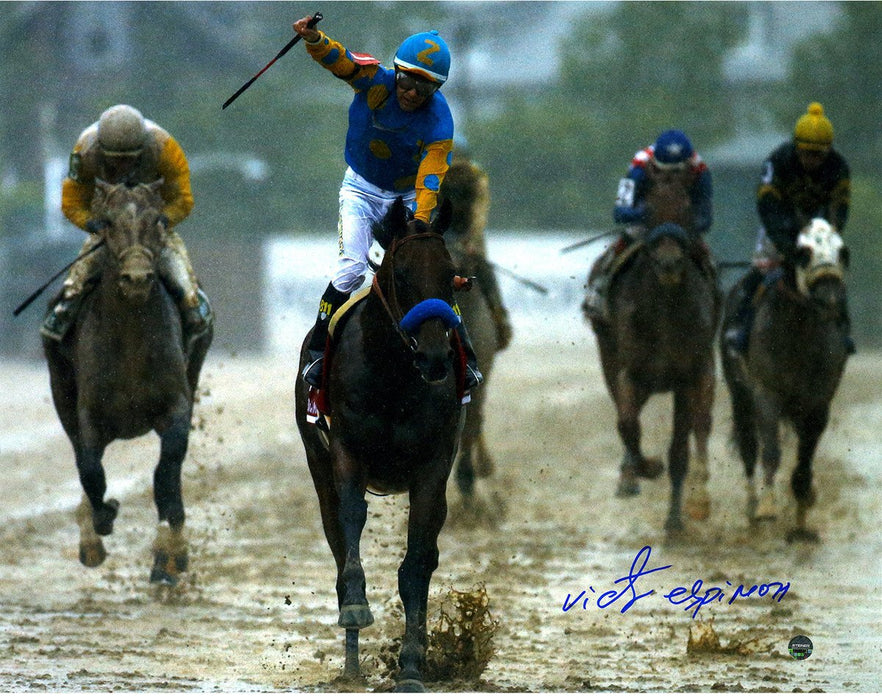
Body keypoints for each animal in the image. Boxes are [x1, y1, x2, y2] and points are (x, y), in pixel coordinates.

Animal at [42, 180, 211, 584]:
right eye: (106, 222)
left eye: (158, 220)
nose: (136, 277)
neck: (131, 341)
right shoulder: (89, 414)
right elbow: (90, 470)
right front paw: (101, 521)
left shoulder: (175, 407)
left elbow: (166, 474)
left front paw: (171, 554)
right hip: (61, 390)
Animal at [294, 198, 460, 696]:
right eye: (401, 276)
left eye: (451, 276)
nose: (435, 357)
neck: (393, 378)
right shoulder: (347, 451)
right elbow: (351, 523)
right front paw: (355, 606)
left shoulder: (434, 464)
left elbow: (417, 565)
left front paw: (411, 665)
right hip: (317, 459)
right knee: (336, 537)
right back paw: (350, 663)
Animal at [580, 168, 720, 532]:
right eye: (649, 210)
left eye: (686, 208)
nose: (669, 263)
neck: (666, 310)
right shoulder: (632, 372)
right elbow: (627, 424)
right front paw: (644, 470)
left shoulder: (690, 375)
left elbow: (685, 444)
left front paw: (687, 509)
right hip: (610, 357)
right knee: (625, 416)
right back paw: (630, 475)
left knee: (697, 426)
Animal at [720, 219, 844, 540]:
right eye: (803, 252)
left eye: (842, 250)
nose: (830, 298)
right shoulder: (766, 392)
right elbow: (771, 450)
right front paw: (767, 508)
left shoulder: (819, 402)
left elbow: (805, 458)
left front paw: (803, 510)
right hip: (740, 395)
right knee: (749, 446)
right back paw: (753, 506)